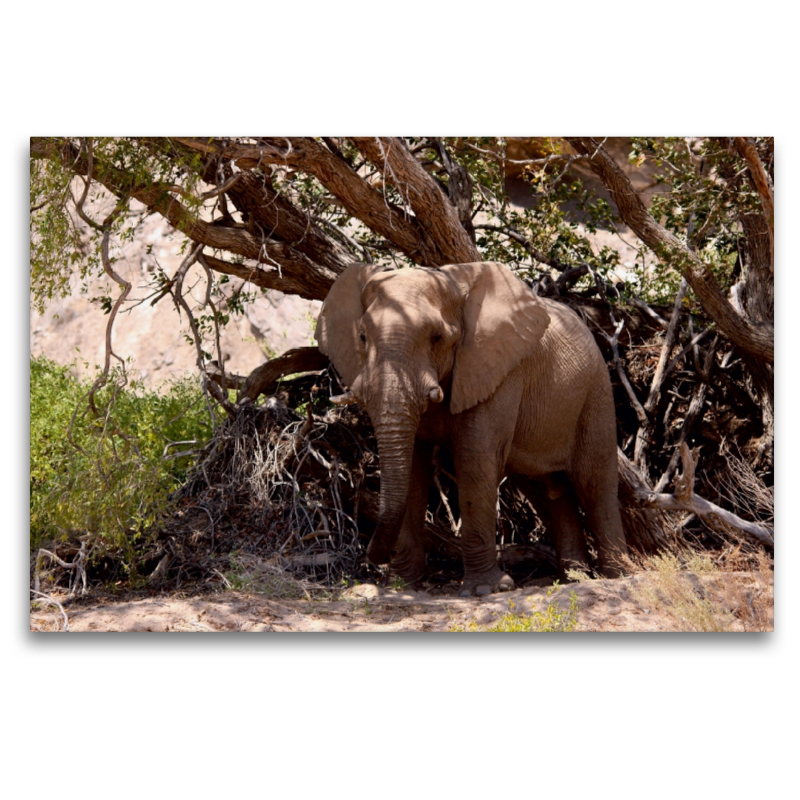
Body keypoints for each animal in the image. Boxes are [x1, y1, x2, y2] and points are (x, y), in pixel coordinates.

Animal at [316, 260, 628, 596]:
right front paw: (399, 586)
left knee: (593, 481)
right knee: (547, 490)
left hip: (595, 393)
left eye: (437, 337)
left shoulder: (498, 370)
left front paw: (486, 590)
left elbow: (474, 459)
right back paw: (573, 578)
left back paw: (616, 575)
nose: (372, 557)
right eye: (362, 337)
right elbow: (413, 468)